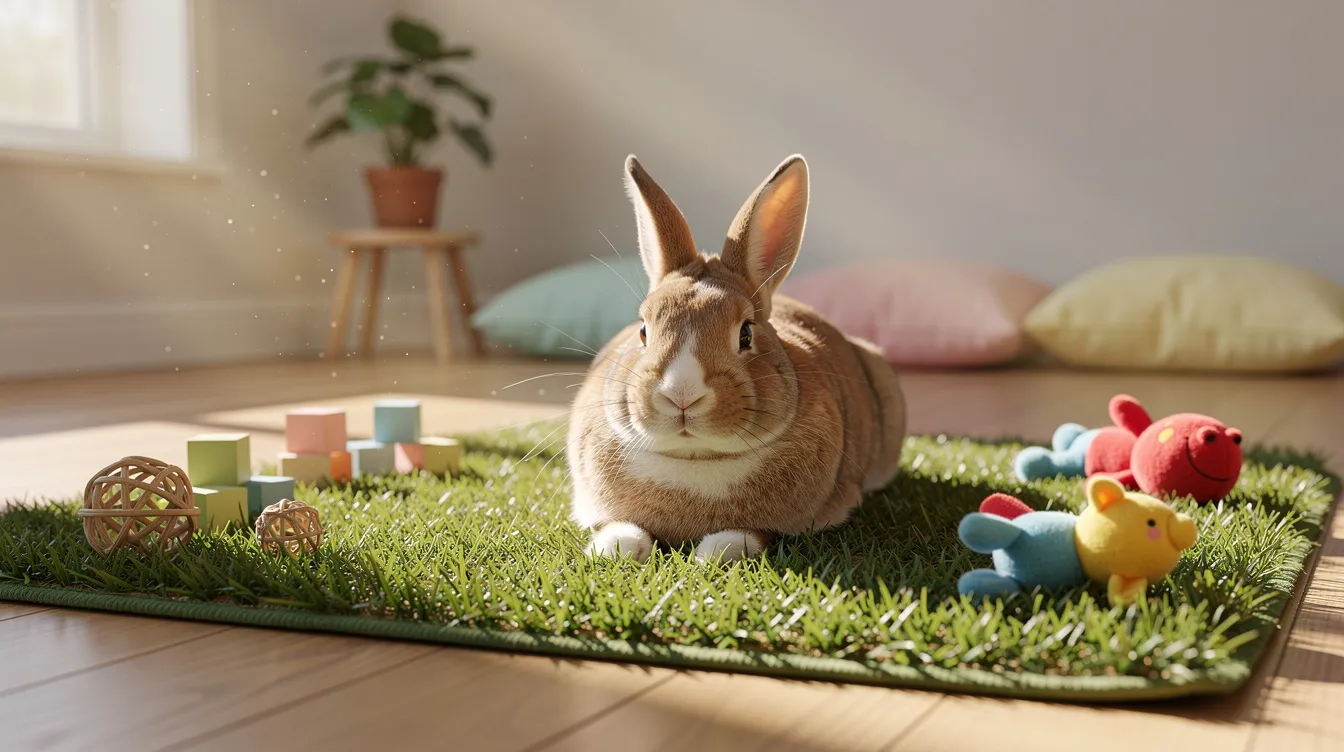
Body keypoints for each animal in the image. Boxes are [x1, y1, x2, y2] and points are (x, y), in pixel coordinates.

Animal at [567, 154, 907, 563]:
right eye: (643, 330)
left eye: (746, 333)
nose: (681, 395)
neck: (695, 459)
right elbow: (622, 527)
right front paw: (615, 549)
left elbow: (750, 535)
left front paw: (711, 554)